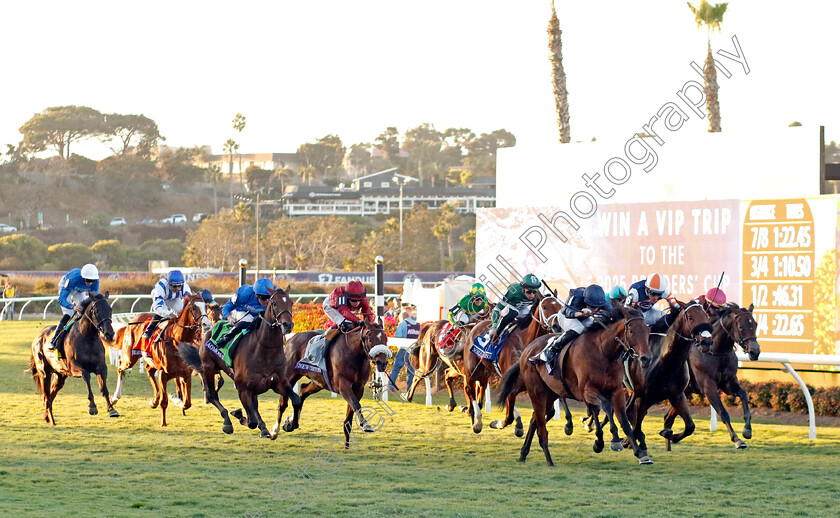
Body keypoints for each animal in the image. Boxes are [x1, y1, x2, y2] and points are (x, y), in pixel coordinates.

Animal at [29, 292, 117, 426]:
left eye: (110, 309)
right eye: (96, 310)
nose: (109, 334)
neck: (87, 337)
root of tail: (37, 337)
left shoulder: (101, 367)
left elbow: (104, 388)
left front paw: (111, 409)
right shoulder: (73, 367)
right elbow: (86, 375)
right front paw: (92, 406)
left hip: (60, 376)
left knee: (50, 396)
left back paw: (47, 417)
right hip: (44, 373)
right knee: (47, 396)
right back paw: (52, 420)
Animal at [177, 286, 298, 440]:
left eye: (291, 302)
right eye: (275, 303)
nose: (287, 324)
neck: (265, 351)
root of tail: (209, 330)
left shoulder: (279, 382)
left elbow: (296, 399)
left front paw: (290, 424)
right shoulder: (242, 388)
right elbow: (251, 421)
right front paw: (239, 415)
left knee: (253, 405)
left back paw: (263, 427)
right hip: (209, 368)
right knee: (212, 396)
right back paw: (227, 422)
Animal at [278, 318, 392, 448]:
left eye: (385, 339)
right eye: (370, 339)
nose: (382, 362)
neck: (353, 353)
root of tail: (290, 339)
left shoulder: (358, 388)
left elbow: (350, 414)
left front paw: (346, 445)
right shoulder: (343, 386)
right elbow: (356, 404)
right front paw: (365, 424)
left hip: (319, 382)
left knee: (302, 391)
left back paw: (292, 423)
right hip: (289, 376)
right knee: (283, 403)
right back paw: (274, 431)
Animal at [498, 306, 656, 470]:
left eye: (647, 330)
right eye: (631, 330)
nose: (646, 358)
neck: (604, 352)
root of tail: (527, 350)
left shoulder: (617, 391)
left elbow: (623, 420)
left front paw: (640, 453)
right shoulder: (587, 390)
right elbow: (605, 406)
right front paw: (612, 441)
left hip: (550, 394)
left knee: (535, 420)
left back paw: (523, 454)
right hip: (537, 392)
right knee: (539, 425)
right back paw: (548, 460)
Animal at [664, 304, 760, 450]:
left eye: (755, 324)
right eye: (741, 326)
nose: (755, 351)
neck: (716, 351)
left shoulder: (729, 383)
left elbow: (743, 395)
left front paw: (747, 430)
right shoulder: (708, 386)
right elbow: (723, 413)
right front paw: (737, 439)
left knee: (668, 419)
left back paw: (670, 437)